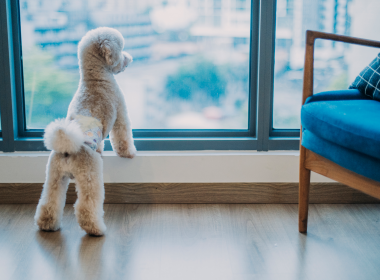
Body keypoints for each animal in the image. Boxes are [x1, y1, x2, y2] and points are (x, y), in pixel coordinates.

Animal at [33, 26, 136, 236]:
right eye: (121, 50)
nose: (129, 58)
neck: (96, 78)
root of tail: (67, 148)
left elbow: (103, 140)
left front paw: (102, 149)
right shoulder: (120, 111)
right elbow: (122, 135)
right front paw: (129, 153)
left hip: (54, 176)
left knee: (49, 202)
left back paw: (47, 224)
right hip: (90, 175)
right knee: (86, 206)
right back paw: (96, 229)